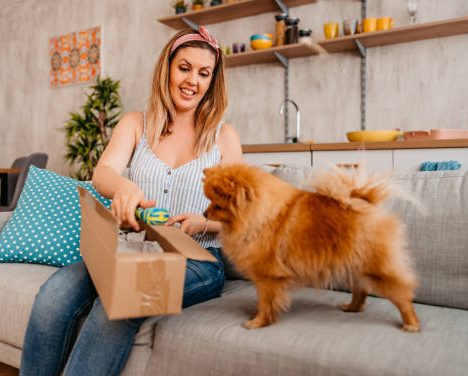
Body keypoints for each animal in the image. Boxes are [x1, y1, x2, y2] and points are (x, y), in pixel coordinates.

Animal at [202, 164, 420, 332]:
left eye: (218, 205)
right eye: (209, 201)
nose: (204, 213)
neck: (261, 215)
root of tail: (365, 204)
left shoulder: (268, 278)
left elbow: (266, 303)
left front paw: (258, 322)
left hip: (378, 268)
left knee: (402, 295)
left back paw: (411, 323)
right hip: (356, 265)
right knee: (361, 290)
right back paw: (351, 307)